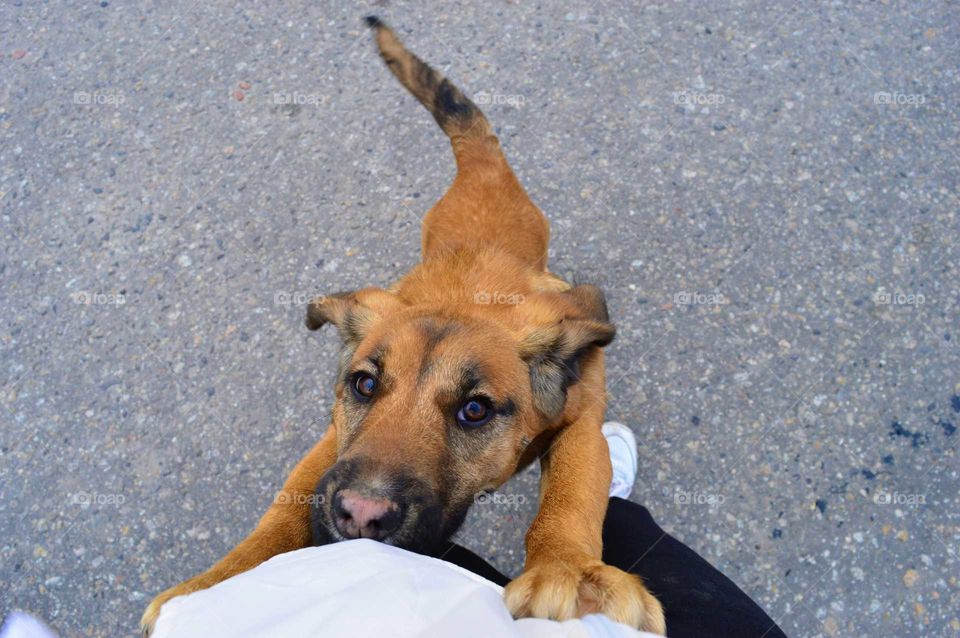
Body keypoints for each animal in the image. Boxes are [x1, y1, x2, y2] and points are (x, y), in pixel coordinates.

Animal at [142, 17, 664, 636]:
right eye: (364, 384)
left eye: (475, 410)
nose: (359, 518)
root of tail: (480, 168)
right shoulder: (332, 442)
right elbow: (283, 507)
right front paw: (216, 585)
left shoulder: (580, 413)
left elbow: (574, 485)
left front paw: (568, 570)